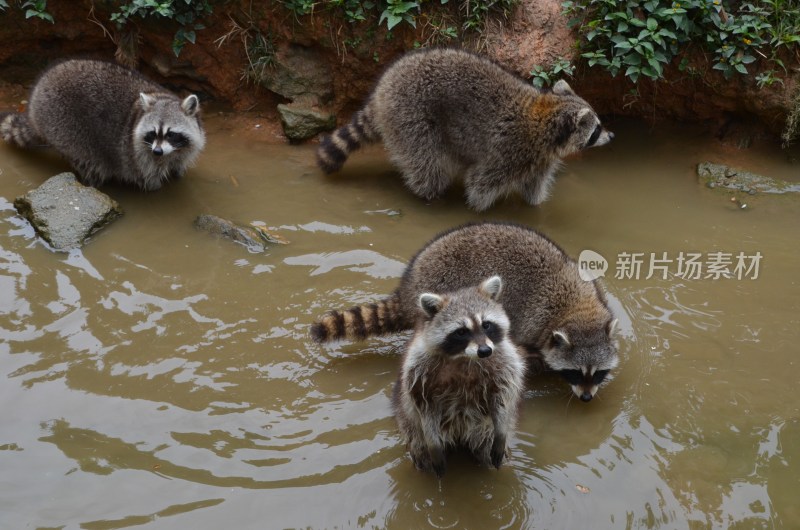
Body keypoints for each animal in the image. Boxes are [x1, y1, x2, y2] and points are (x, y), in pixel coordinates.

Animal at [0, 58, 206, 190]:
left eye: (171, 134)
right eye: (153, 133)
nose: (157, 151)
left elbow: (179, 164)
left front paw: (177, 175)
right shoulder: (138, 157)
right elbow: (148, 179)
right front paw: (157, 188)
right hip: (62, 124)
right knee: (91, 163)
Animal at [310, 222, 620, 400]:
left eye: (598, 374)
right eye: (575, 373)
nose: (587, 398)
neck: (576, 310)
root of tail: (409, 287)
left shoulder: (593, 287)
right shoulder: (532, 319)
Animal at [316, 46, 616, 209]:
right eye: (596, 129)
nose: (612, 135)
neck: (547, 117)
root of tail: (383, 86)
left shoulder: (539, 158)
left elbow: (533, 185)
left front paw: (536, 206)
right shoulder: (509, 151)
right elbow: (479, 184)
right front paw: (479, 208)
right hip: (410, 115)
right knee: (428, 165)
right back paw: (431, 195)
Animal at [392, 274, 524, 476]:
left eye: (486, 325)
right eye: (461, 331)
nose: (485, 351)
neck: (464, 357)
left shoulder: (503, 360)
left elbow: (501, 396)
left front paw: (501, 432)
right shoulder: (419, 370)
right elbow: (424, 406)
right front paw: (432, 443)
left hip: (483, 430)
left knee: (487, 447)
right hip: (410, 426)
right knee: (419, 446)